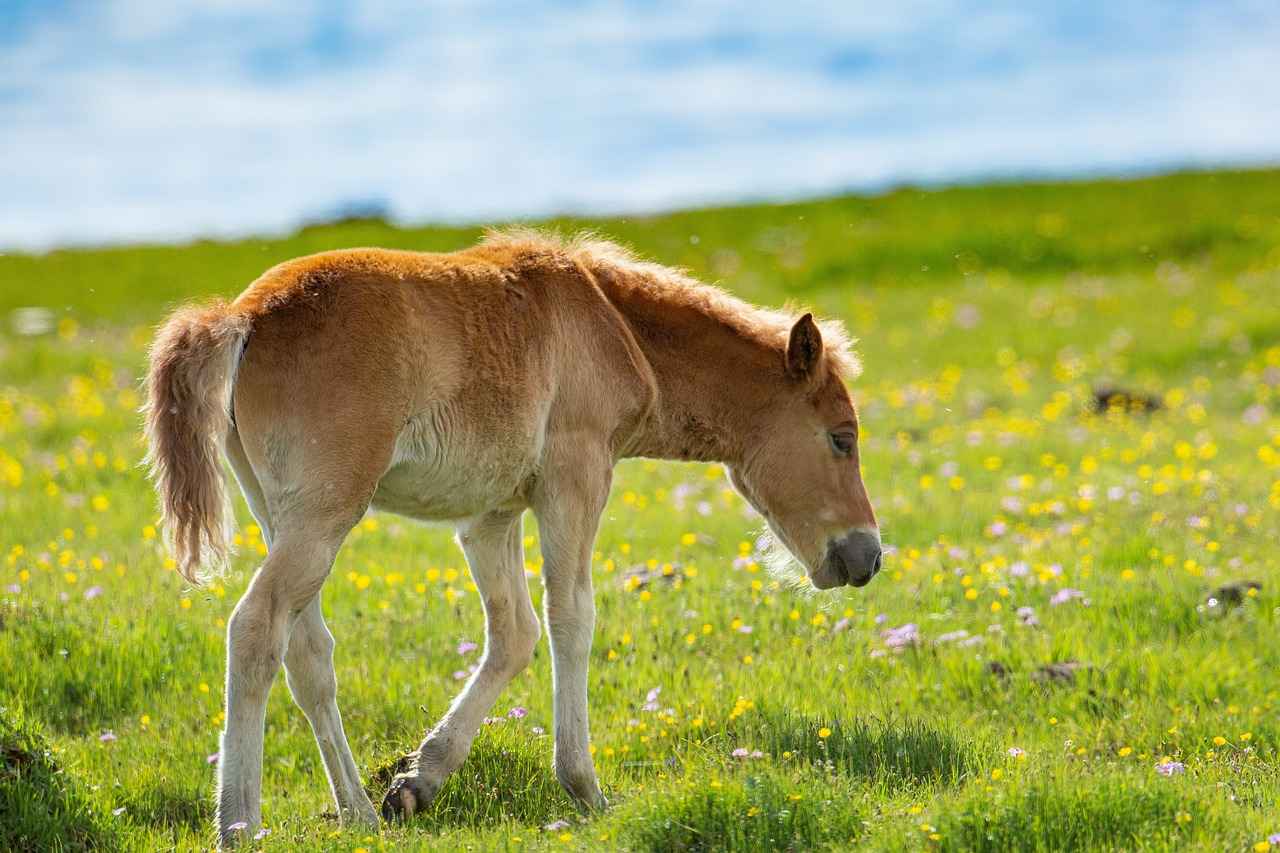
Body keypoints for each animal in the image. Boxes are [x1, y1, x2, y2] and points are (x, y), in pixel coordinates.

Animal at [143, 229, 881, 845]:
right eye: (841, 437)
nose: (868, 555)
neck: (612, 324)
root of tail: (240, 318)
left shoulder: (491, 515)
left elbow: (514, 634)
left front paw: (417, 781)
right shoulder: (575, 476)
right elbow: (570, 617)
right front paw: (585, 788)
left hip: (280, 513)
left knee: (307, 652)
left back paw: (356, 812)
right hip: (326, 514)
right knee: (256, 626)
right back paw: (238, 824)